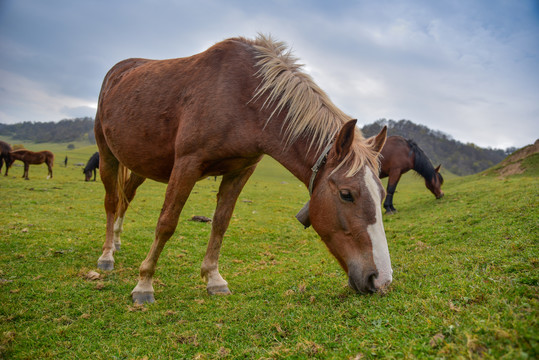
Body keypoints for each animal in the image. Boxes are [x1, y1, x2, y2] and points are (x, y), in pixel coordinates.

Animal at [95, 34, 392, 304]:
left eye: (381, 193)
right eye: (346, 194)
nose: (381, 280)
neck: (244, 98)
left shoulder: (241, 171)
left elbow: (221, 223)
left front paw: (213, 278)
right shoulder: (187, 164)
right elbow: (166, 223)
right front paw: (144, 283)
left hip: (139, 166)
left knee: (126, 198)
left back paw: (118, 242)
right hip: (108, 156)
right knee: (111, 202)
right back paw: (107, 254)